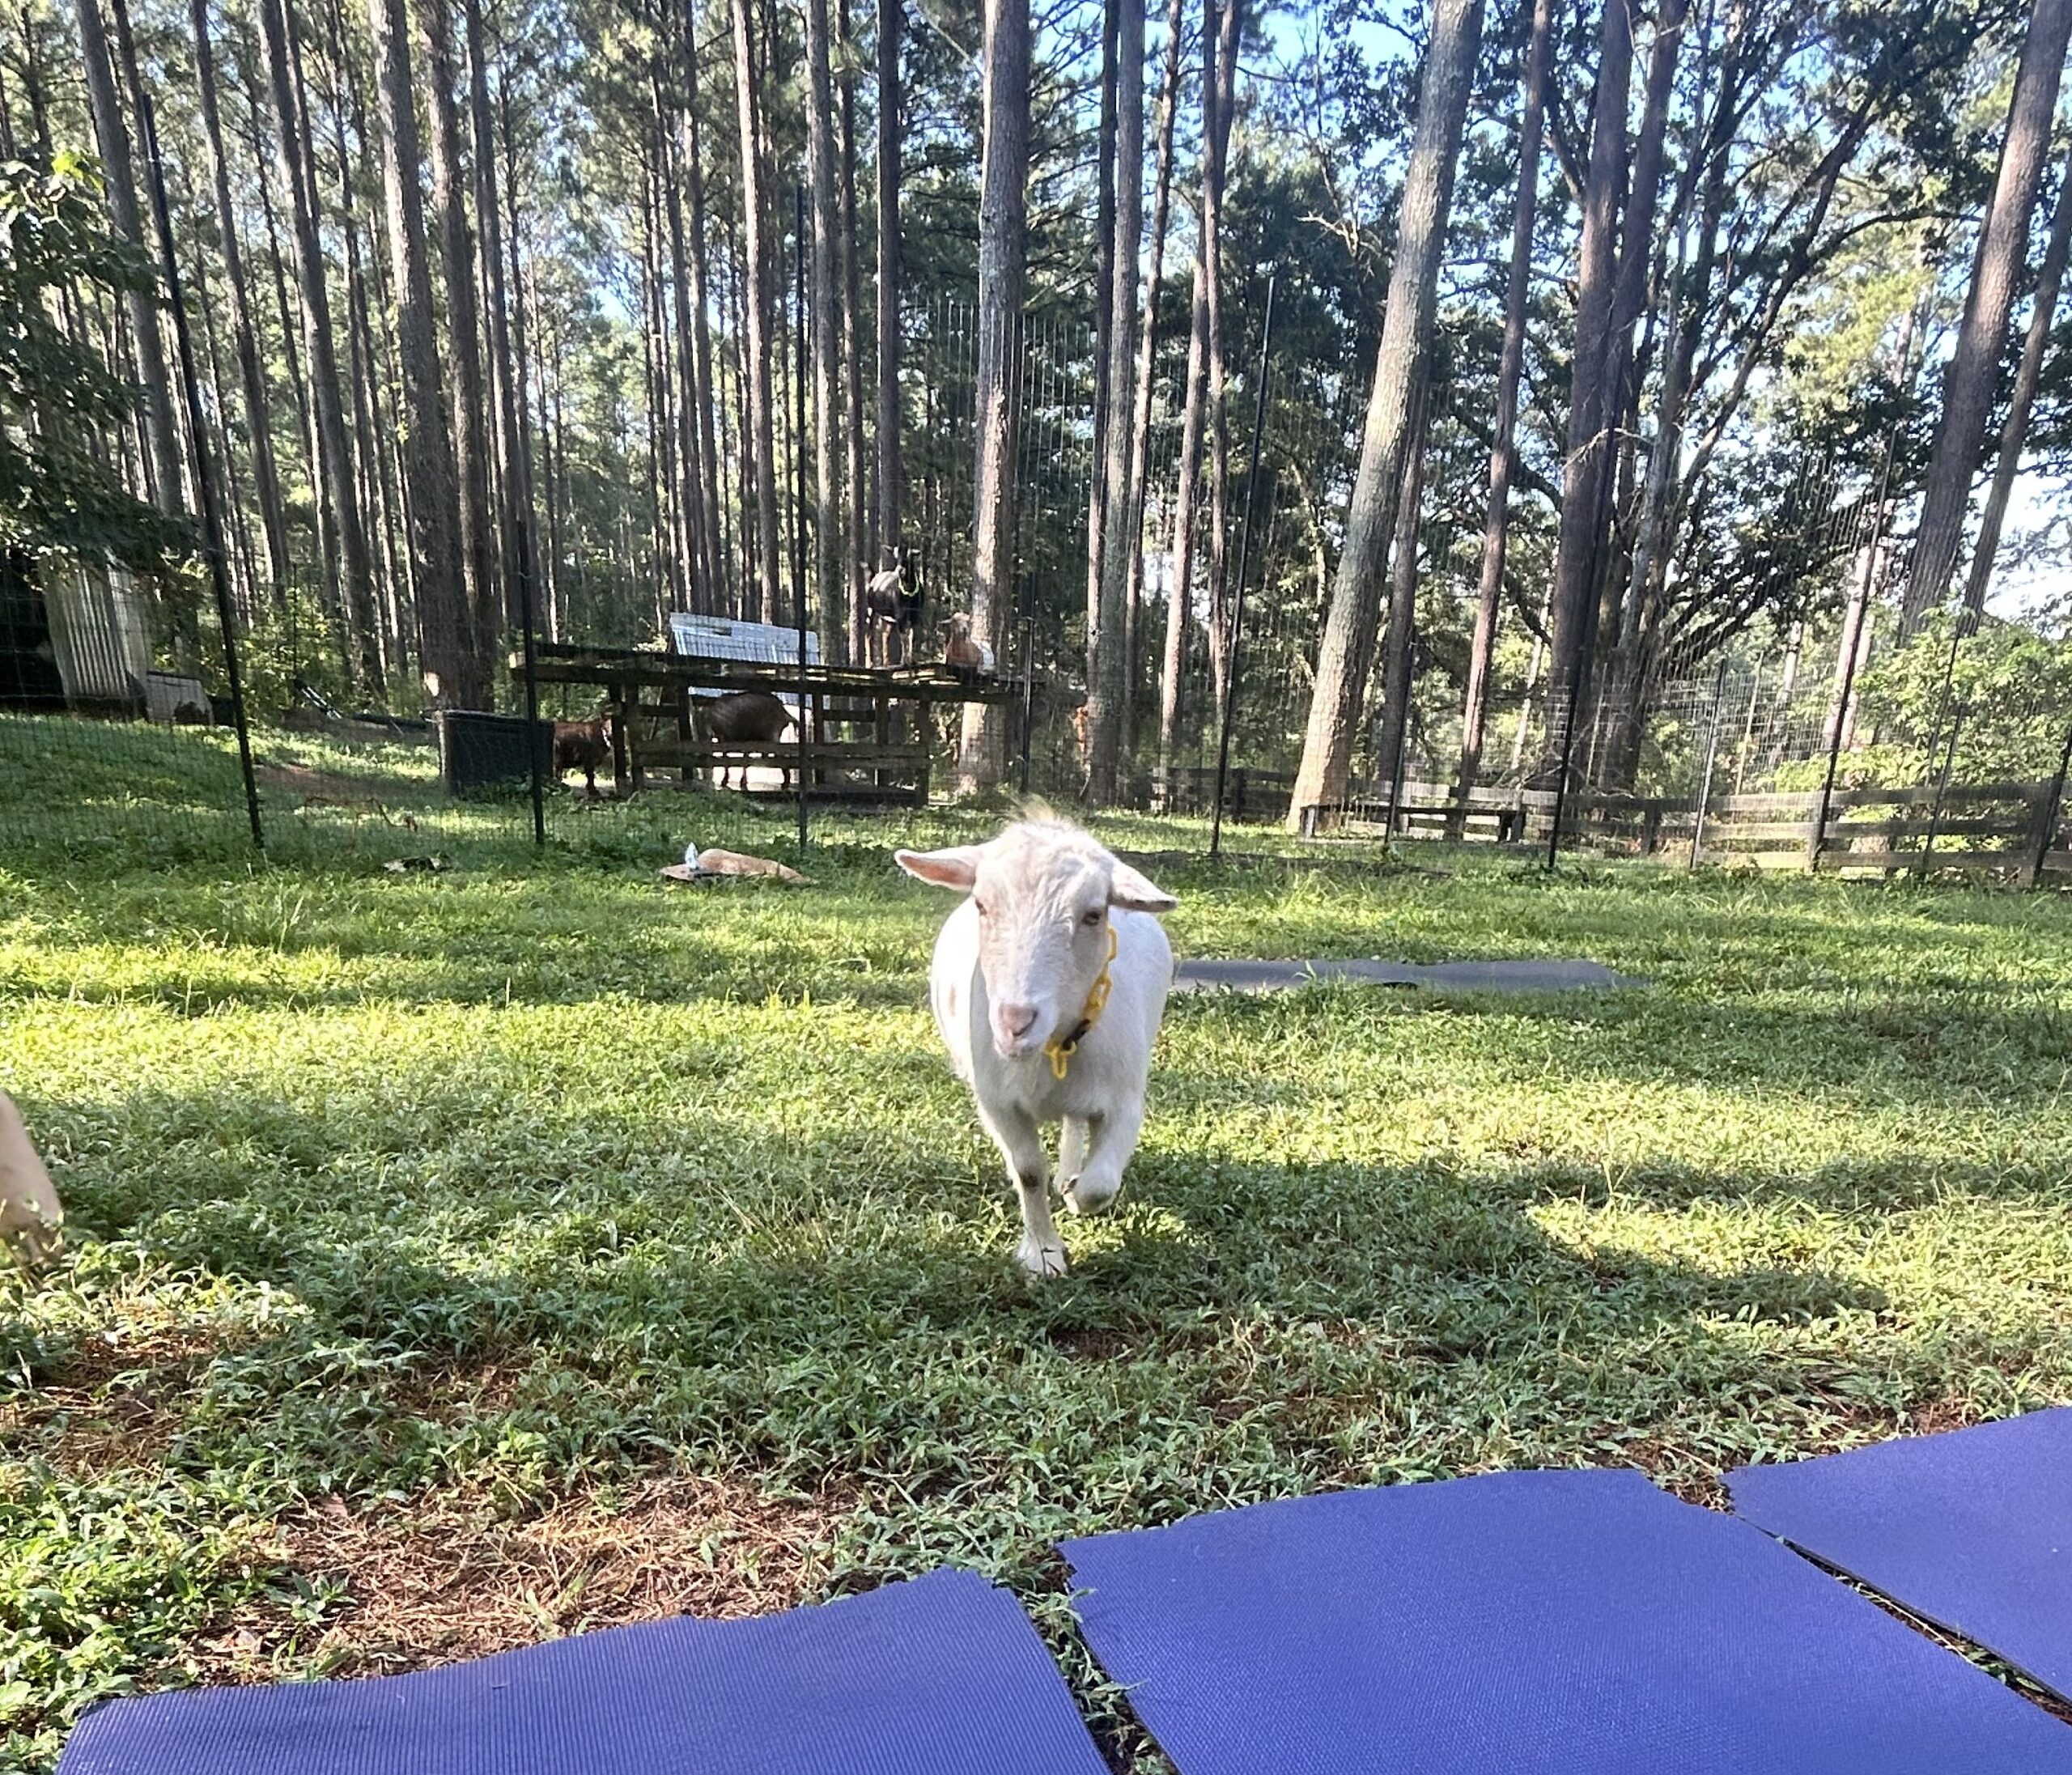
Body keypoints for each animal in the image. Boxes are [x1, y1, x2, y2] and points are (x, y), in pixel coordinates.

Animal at [894, 816, 1177, 1276]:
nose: (1015, 1022)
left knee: (1075, 1123)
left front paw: (1077, 1195)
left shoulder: (1125, 1101)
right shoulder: (998, 1103)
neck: (1051, 1051)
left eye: (1094, 914)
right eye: (981, 905)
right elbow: (1028, 1173)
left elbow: (1101, 1185)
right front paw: (1043, 1256)